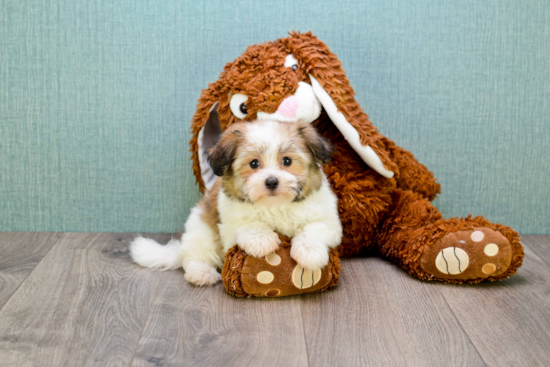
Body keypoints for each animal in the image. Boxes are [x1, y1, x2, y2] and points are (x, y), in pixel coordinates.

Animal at [131, 121, 342, 288]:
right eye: (254, 163)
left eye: (287, 161)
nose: (271, 181)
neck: (275, 204)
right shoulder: (230, 221)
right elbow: (247, 224)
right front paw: (261, 239)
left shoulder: (327, 218)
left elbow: (314, 228)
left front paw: (309, 252)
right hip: (202, 232)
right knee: (194, 257)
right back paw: (201, 273)